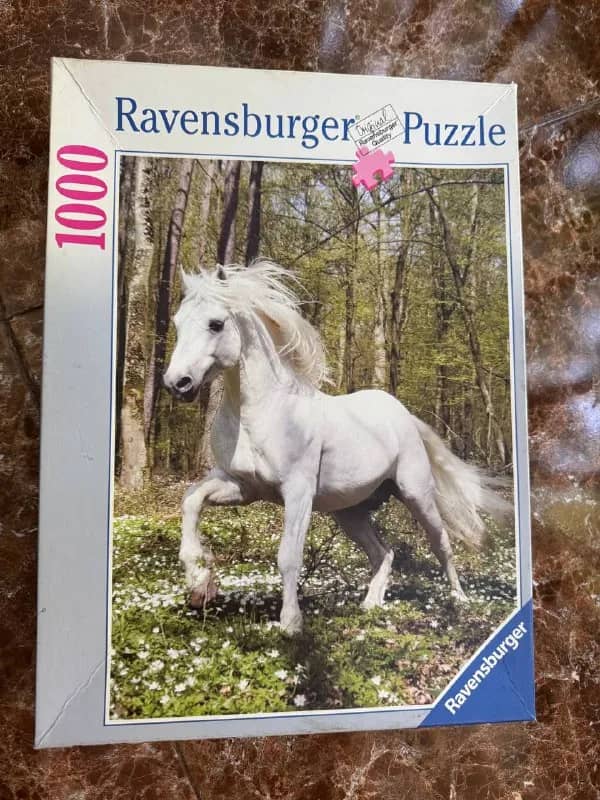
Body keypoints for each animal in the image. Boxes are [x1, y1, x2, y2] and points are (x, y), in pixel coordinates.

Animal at [163, 259, 511, 635]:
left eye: (216, 324)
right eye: (177, 322)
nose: (176, 383)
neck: (261, 413)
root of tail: (402, 414)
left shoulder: (297, 492)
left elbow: (288, 556)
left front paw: (290, 624)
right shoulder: (242, 486)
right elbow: (191, 500)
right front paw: (199, 582)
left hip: (416, 494)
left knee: (441, 544)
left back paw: (459, 600)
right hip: (350, 512)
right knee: (383, 552)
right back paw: (371, 604)